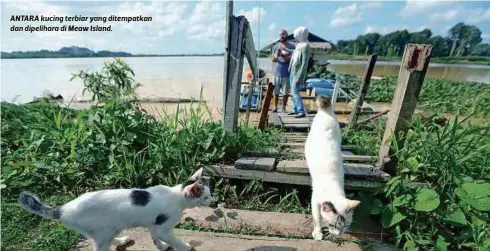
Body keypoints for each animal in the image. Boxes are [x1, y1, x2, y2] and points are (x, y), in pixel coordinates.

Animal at [306, 95, 360, 240]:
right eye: (333, 225)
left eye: (345, 226)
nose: (339, 235)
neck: (332, 187)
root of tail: (327, 111)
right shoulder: (314, 200)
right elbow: (317, 218)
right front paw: (318, 233)